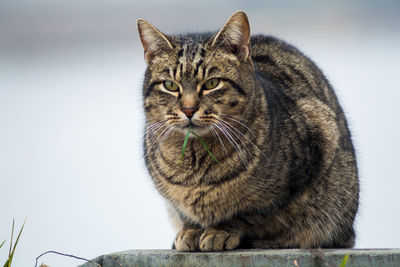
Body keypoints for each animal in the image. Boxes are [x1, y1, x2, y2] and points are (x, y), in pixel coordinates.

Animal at [138, 10, 360, 252]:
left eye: (212, 83)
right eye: (170, 85)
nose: (188, 109)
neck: (195, 161)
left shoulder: (314, 144)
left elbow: (247, 213)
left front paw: (221, 230)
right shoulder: (174, 201)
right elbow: (185, 212)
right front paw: (191, 230)